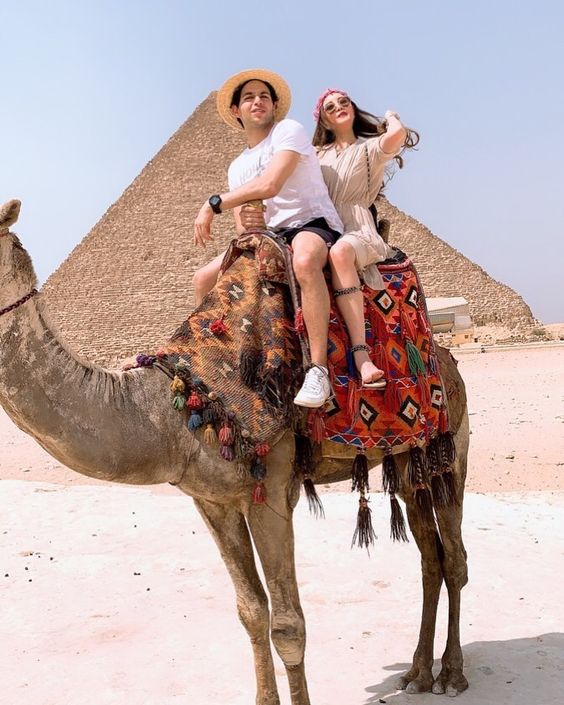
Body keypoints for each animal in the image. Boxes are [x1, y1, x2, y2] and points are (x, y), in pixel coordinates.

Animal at [0, 199, 470, 704]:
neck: (170, 408)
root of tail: (446, 357)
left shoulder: (271, 493)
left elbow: (288, 625)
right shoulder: (211, 501)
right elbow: (251, 611)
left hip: (453, 446)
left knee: (454, 557)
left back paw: (452, 674)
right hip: (407, 461)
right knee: (429, 557)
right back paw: (418, 672)